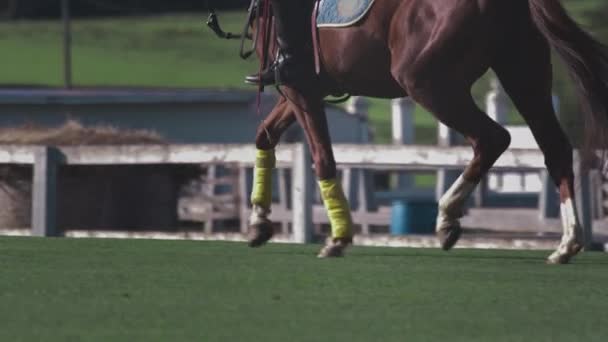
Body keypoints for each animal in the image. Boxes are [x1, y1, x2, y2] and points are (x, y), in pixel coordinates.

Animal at [210, 0, 608, 264]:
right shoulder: (303, 90)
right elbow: (264, 135)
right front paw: (259, 222)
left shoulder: (301, 90)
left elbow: (323, 158)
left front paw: (339, 236)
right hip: (522, 75)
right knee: (555, 148)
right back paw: (567, 242)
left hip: (427, 83)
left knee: (493, 138)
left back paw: (447, 217)